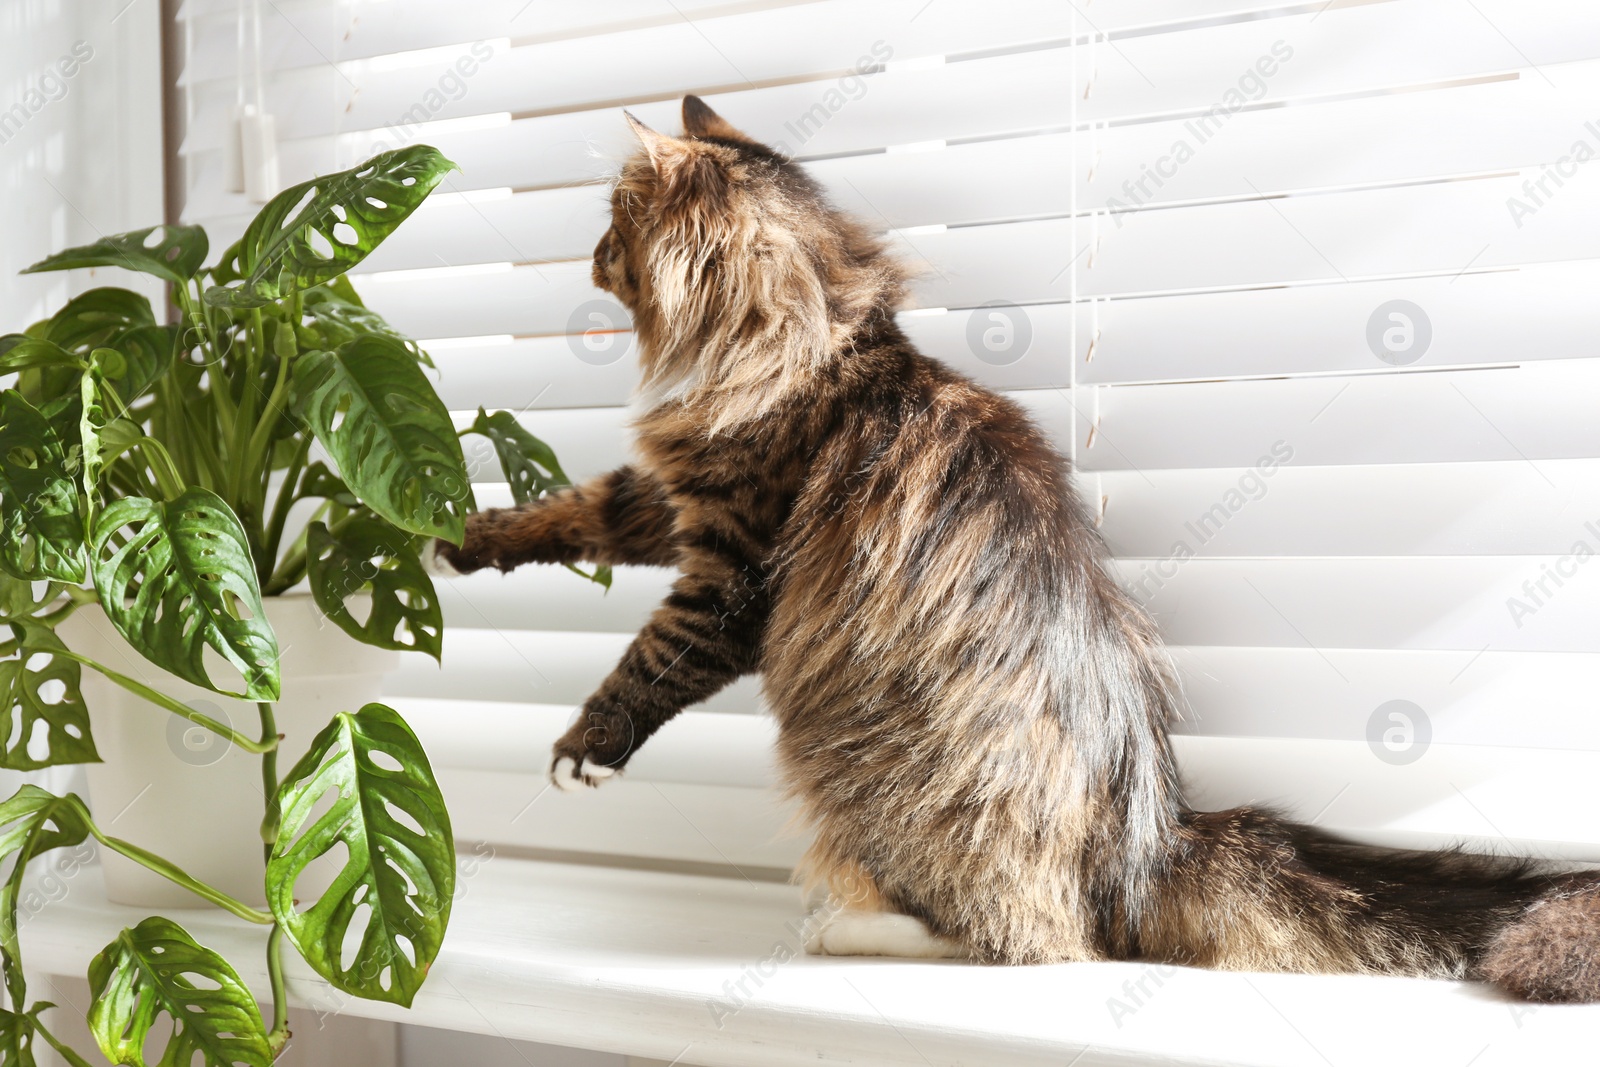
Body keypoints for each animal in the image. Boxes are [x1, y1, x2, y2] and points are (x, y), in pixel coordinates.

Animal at [428, 93, 1600, 1004]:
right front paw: (459, 537)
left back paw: (841, 925)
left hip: (853, 766)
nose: (587, 256)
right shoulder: (674, 501)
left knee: (1025, 942)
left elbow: (651, 658)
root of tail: (1154, 836)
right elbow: (571, 508)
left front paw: (584, 749)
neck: (816, 340)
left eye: (613, 228)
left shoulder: (732, 565)